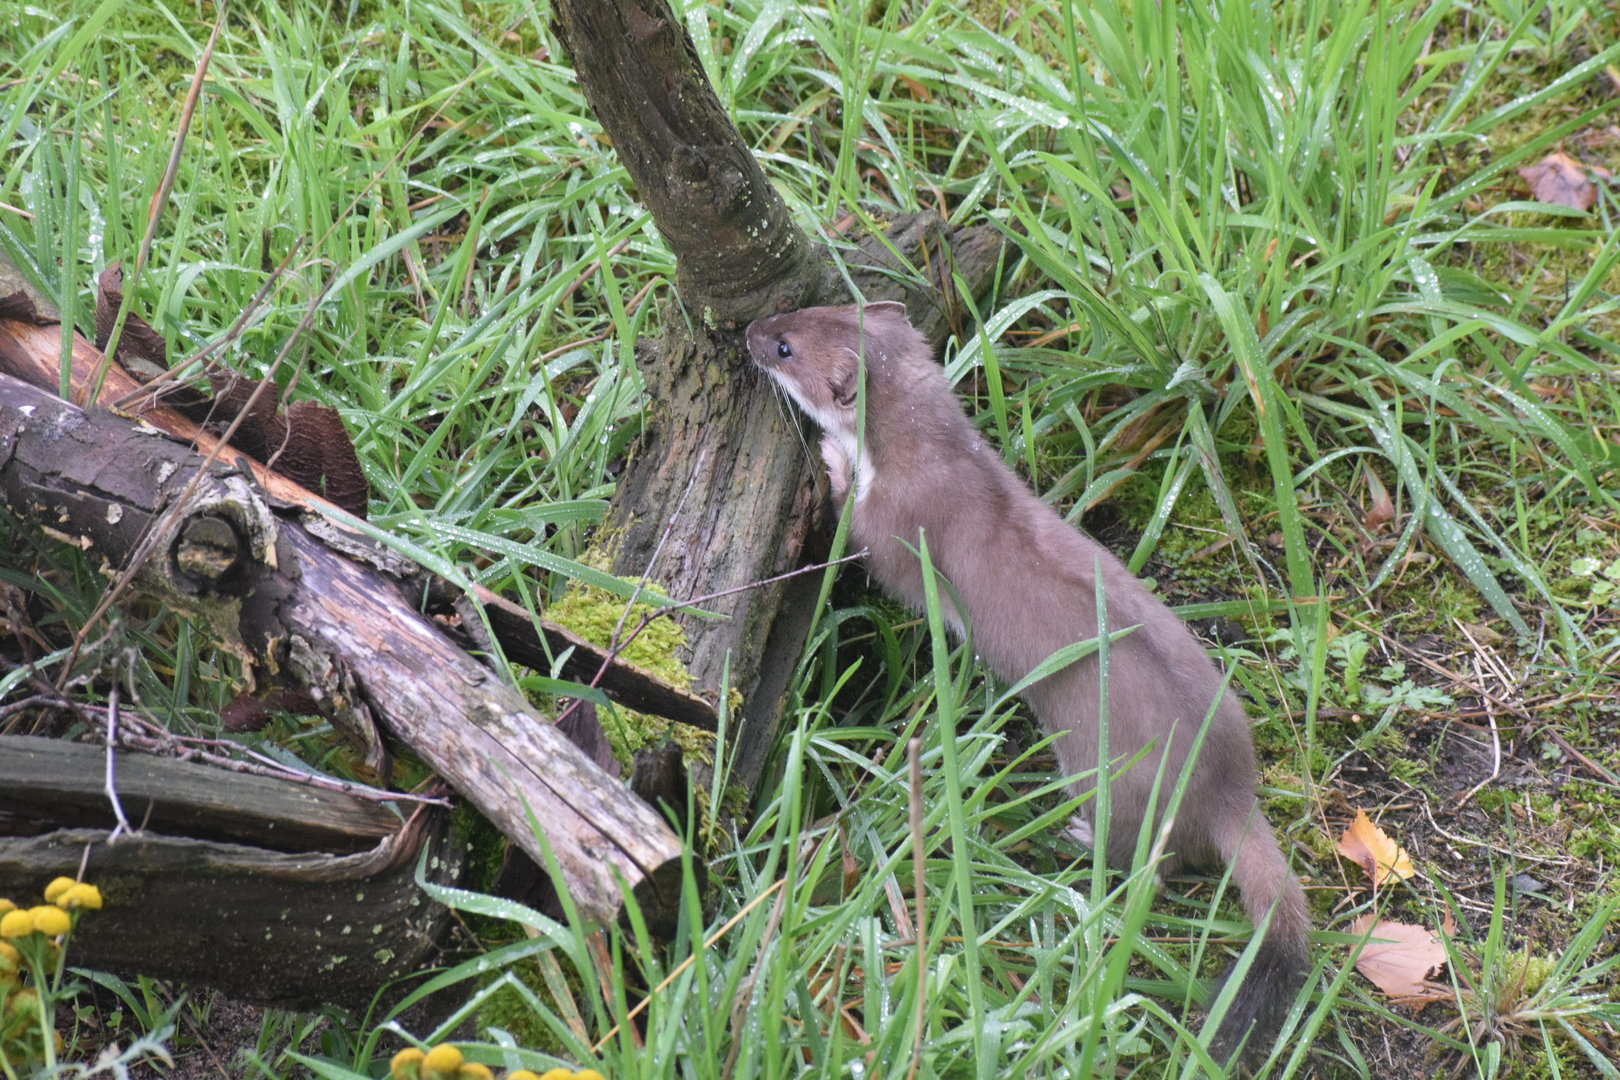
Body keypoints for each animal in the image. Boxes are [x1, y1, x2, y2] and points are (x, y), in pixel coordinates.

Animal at [745, 300, 1310, 1060]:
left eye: (785, 346)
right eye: (813, 306)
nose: (747, 331)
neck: (949, 457)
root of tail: (1229, 787)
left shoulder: (898, 525)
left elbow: (868, 544)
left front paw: (833, 462)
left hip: (1110, 778)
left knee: (1148, 863)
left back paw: (1079, 838)